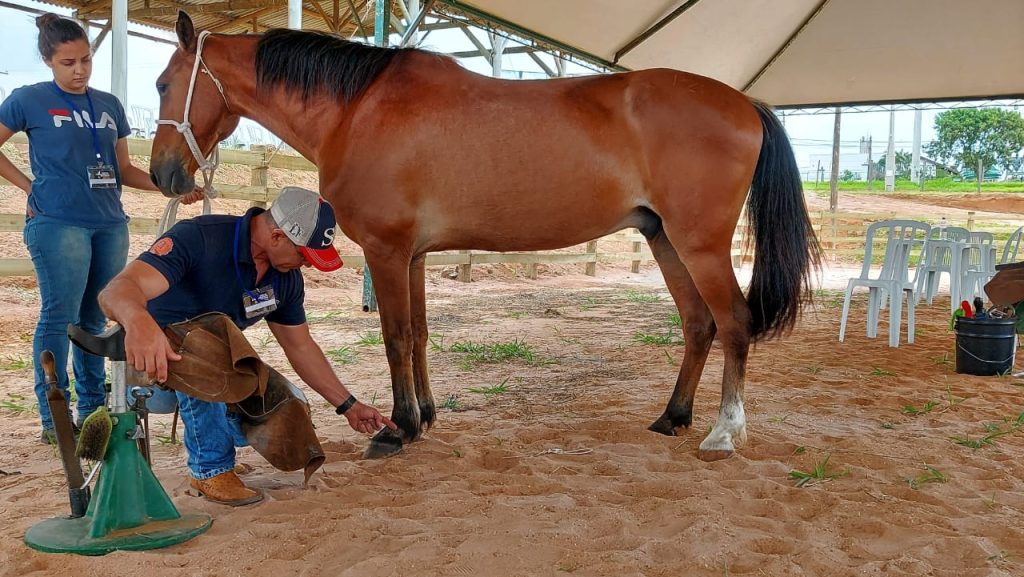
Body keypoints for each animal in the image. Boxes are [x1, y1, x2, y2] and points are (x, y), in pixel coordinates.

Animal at [151, 11, 823, 463]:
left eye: (161, 83)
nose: (164, 175)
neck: (359, 108)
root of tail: (745, 104)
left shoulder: (387, 252)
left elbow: (395, 338)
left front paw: (397, 429)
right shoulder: (413, 256)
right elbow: (419, 336)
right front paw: (424, 416)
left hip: (698, 242)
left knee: (733, 322)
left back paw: (723, 432)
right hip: (664, 240)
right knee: (699, 323)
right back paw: (672, 417)